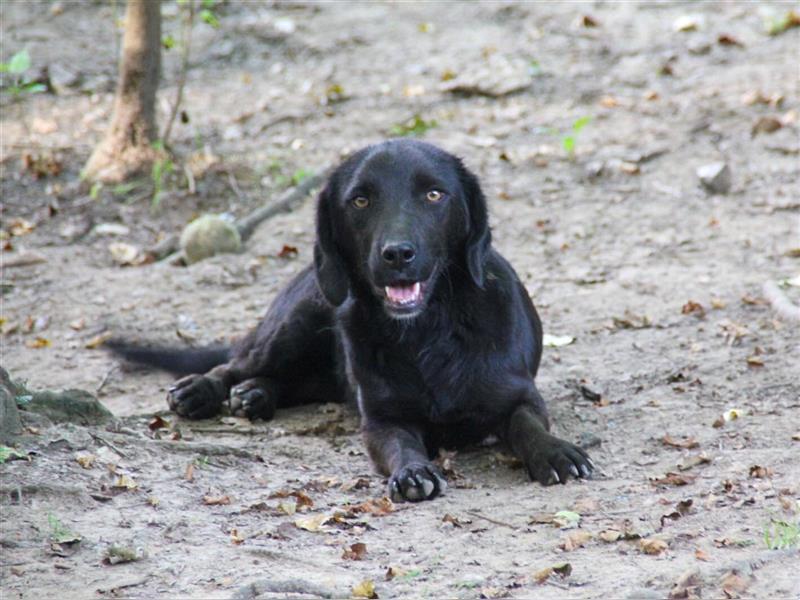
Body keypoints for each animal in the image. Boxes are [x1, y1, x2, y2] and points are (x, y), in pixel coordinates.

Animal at [112, 141, 592, 502]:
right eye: (361, 200)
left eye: (434, 195)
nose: (397, 253)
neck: (429, 332)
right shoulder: (381, 420)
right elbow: (401, 445)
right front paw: (413, 472)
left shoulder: (520, 395)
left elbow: (528, 425)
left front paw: (555, 454)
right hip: (297, 321)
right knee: (236, 363)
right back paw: (202, 390)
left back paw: (255, 395)